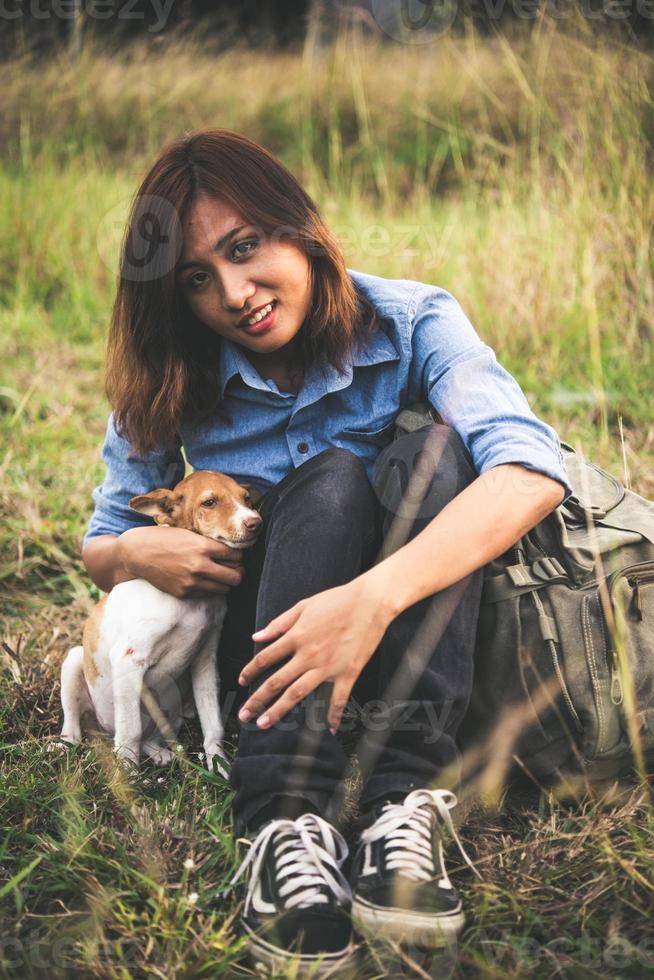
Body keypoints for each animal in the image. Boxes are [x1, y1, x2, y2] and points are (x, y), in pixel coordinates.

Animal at [59, 470, 264, 768]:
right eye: (210, 502)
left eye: (246, 498)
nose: (255, 523)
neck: (193, 602)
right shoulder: (128, 659)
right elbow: (129, 733)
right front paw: (128, 773)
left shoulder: (205, 661)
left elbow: (213, 724)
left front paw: (218, 763)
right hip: (75, 663)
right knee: (77, 724)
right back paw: (65, 744)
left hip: (172, 708)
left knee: (150, 736)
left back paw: (158, 752)